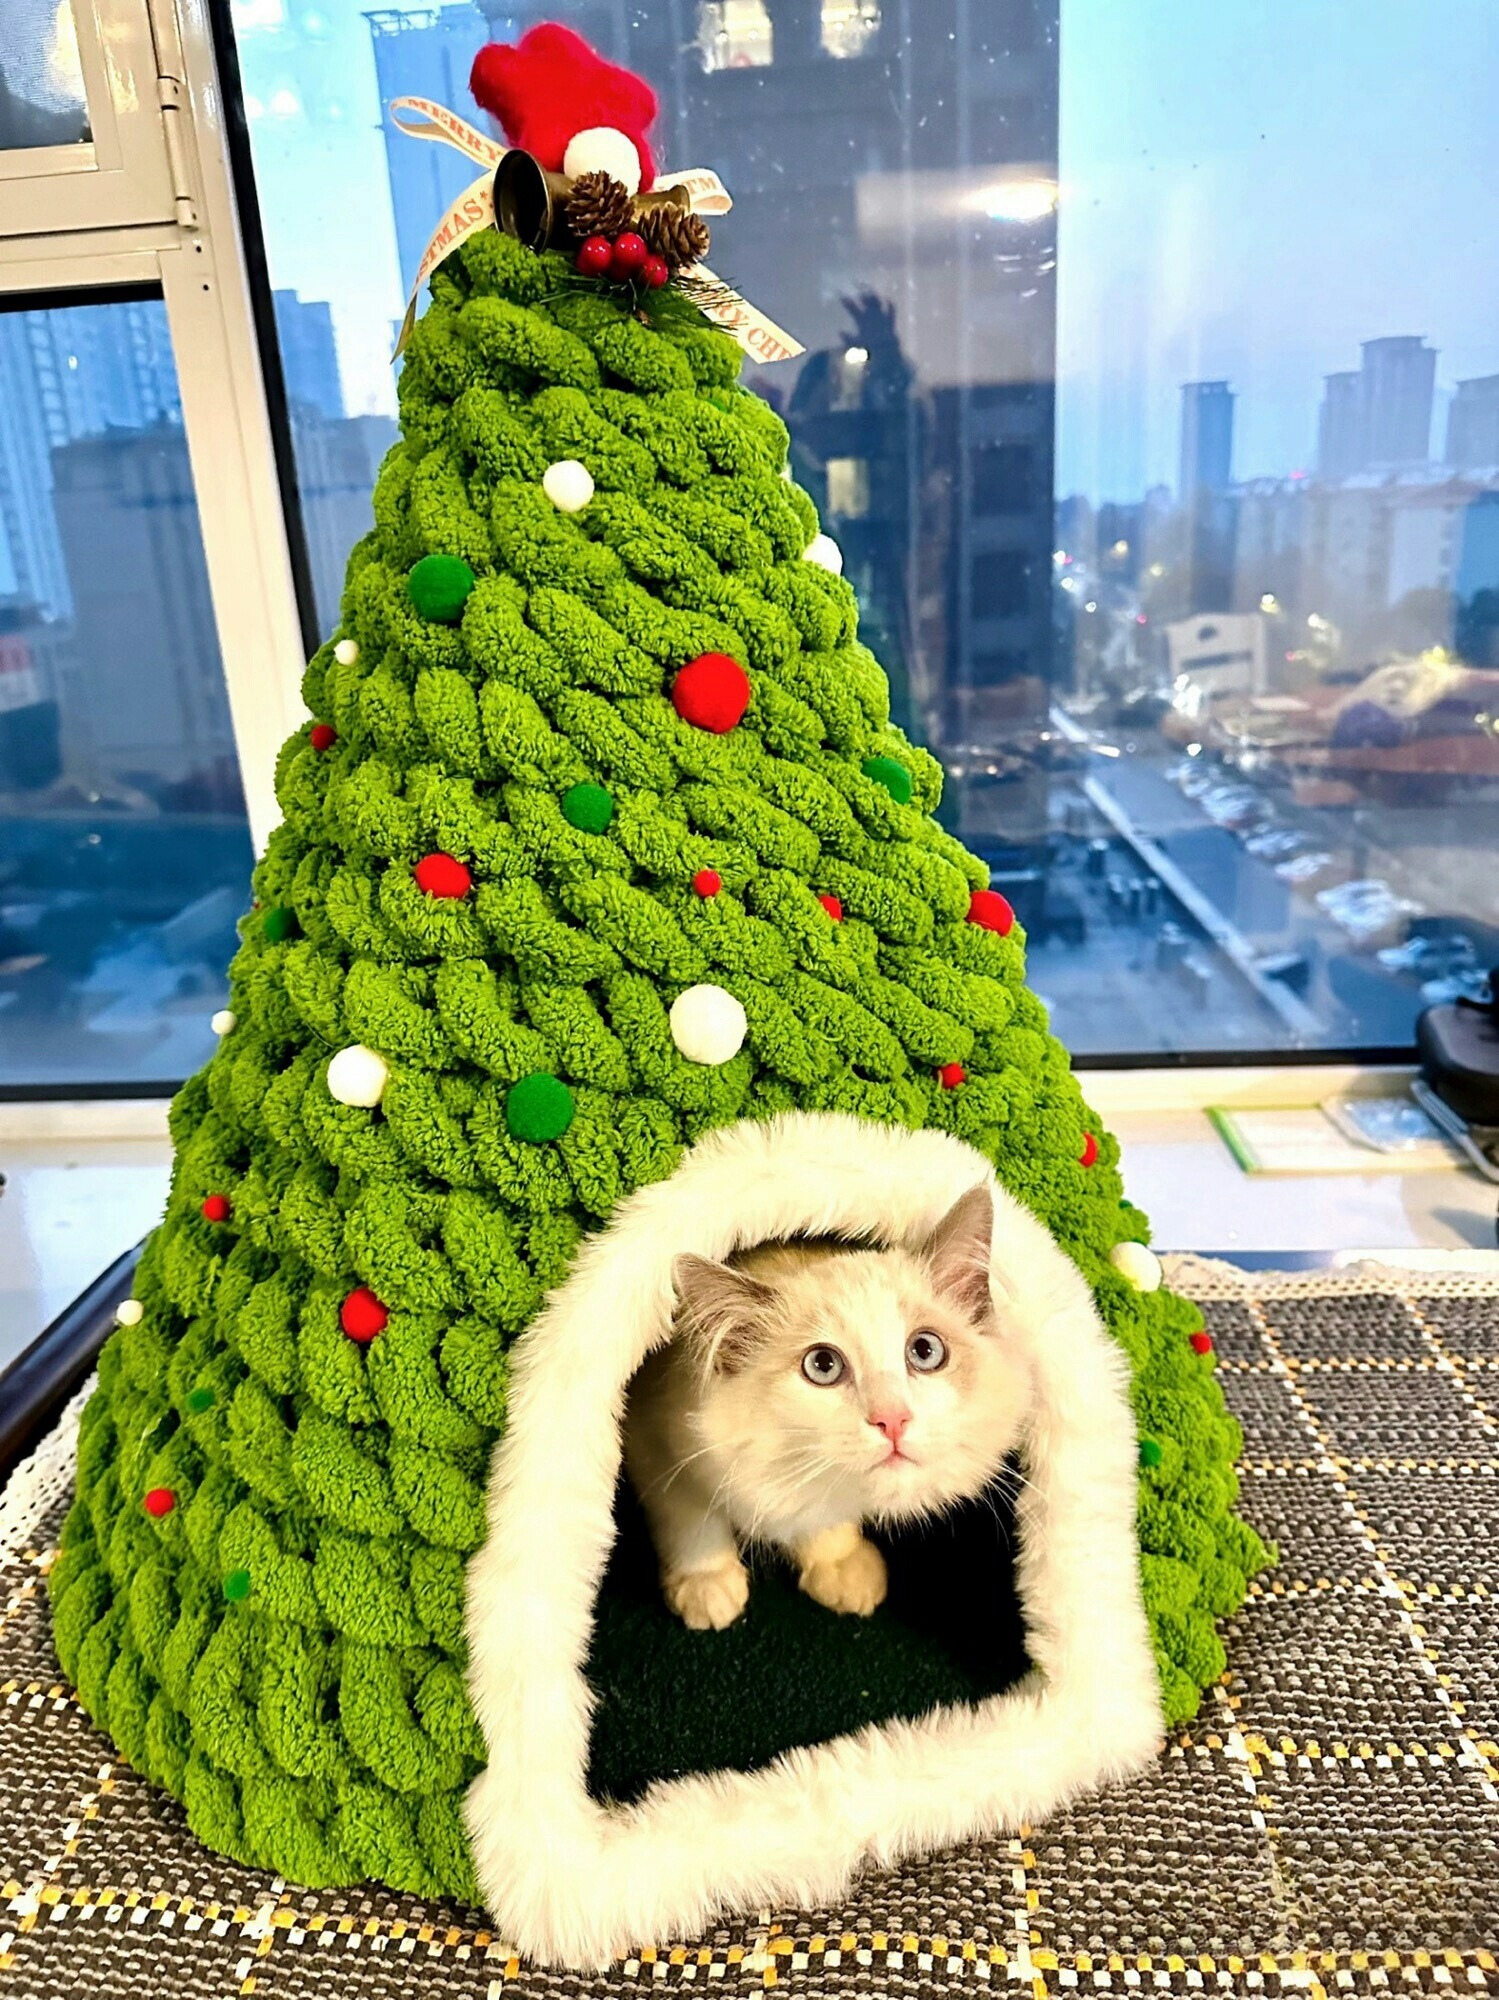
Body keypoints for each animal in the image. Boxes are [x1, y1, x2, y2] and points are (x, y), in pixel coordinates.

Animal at [623, 1184, 1031, 1624]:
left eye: (925, 1350)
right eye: (823, 1365)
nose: (893, 1419)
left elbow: (824, 1522)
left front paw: (839, 1564)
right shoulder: (654, 1441)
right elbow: (689, 1516)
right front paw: (707, 1584)